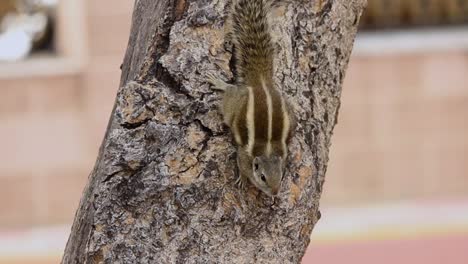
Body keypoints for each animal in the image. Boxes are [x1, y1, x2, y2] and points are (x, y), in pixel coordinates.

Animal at [208, 0, 292, 196]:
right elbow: (241, 165)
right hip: (234, 103)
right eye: (262, 177)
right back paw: (220, 84)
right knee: (230, 92)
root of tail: (261, 82)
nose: (275, 193)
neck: (268, 150)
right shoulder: (244, 156)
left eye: (282, 175)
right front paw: (242, 179)